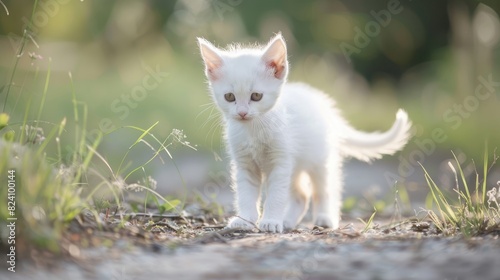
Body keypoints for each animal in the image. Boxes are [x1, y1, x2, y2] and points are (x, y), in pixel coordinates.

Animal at [197, 34, 412, 233]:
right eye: (229, 97)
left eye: (256, 96)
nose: (242, 112)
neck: (254, 130)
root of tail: (324, 106)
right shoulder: (245, 164)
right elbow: (246, 195)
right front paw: (245, 220)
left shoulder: (281, 162)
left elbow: (276, 196)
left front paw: (271, 221)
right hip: (295, 166)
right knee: (301, 195)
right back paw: (288, 221)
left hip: (320, 162)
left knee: (324, 191)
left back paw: (325, 218)